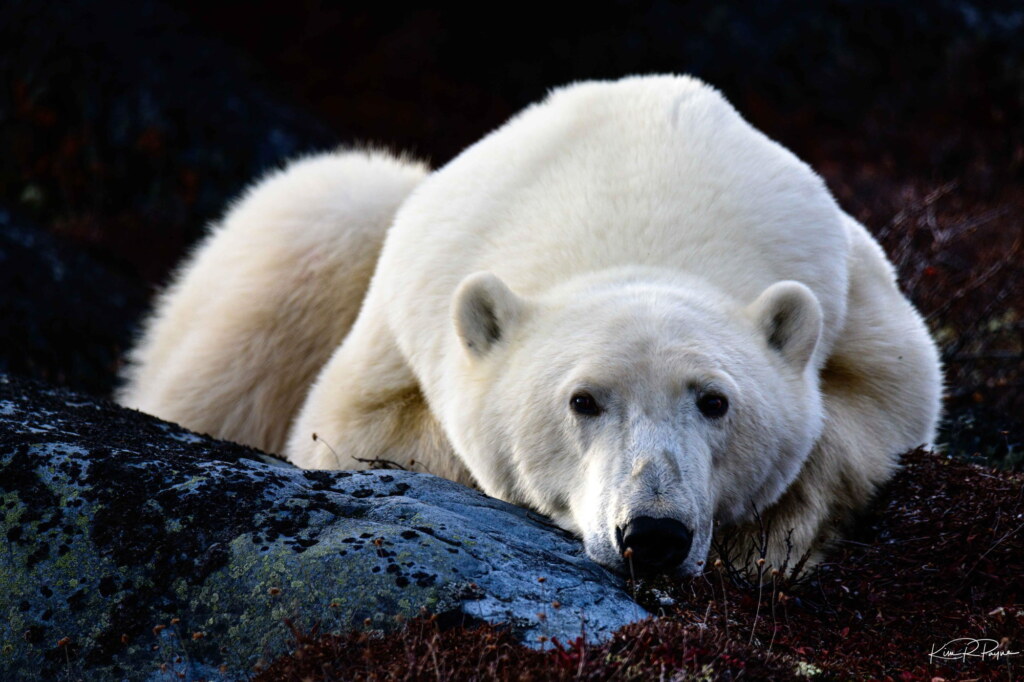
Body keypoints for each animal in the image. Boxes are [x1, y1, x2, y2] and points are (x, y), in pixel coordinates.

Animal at [119, 75, 942, 576]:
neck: (641, 195)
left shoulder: (847, 287)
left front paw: (765, 541)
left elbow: (878, 409)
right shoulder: (409, 322)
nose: (653, 535)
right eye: (583, 400)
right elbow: (362, 434)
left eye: (715, 401)